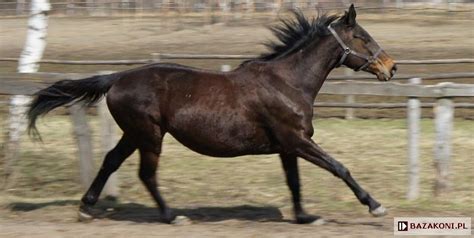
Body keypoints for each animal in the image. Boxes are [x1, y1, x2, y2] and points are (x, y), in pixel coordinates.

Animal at [25, 4, 396, 224]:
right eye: (362, 37)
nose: (391, 67)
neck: (287, 82)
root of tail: (116, 78)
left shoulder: (288, 146)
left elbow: (294, 181)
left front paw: (305, 217)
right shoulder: (296, 140)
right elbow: (339, 167)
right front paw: (374, 204)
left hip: (134, 133)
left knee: (111, 161)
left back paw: (87, 207)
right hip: (150, 135)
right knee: (147, 174)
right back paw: (171, 216)